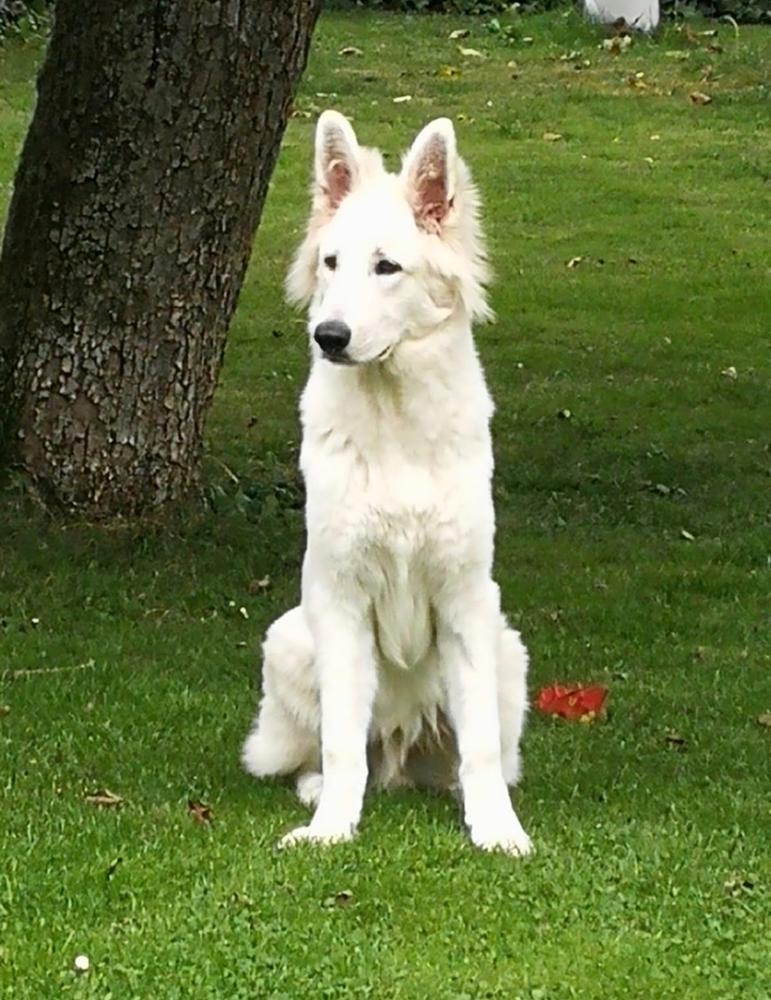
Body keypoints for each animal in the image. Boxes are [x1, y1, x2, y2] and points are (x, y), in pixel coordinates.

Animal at [244, 111, 532, 860]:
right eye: (330, 263)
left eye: (386, 267)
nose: (329, 335)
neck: (395, 428)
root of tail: (403, 750)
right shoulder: (340, 600)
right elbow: (344, 742)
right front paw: (330, 830)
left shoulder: (465, 602)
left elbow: (481, 747)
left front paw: (497, 830)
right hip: (290, 640)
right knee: (338, 754)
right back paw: (321, 792)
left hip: (506, 647)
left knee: (474, 753)